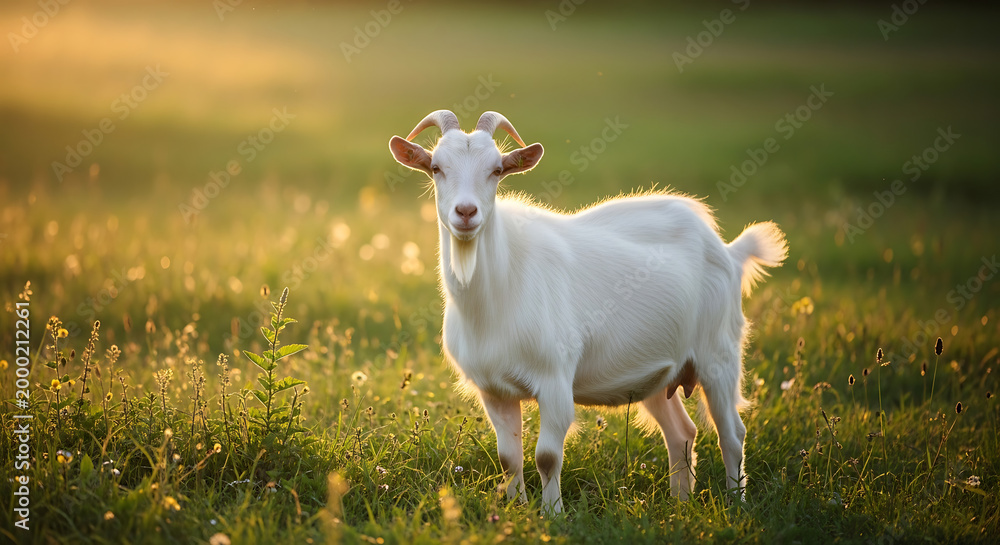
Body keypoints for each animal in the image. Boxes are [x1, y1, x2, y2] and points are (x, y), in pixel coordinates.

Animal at [388, 110, 787, 513]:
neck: (495, 294)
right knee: (681, 432)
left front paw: (552, 514)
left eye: (497, 170)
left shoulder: (555, 379)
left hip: (718, 352)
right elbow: (508, 458)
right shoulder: (494, 390)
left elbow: (546, 457)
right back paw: (679, 503)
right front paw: (517, 510)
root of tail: (728, 251)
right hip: (660, 372)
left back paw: (735, 502)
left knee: (731, 432)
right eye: (436, 167)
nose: (466, 212)